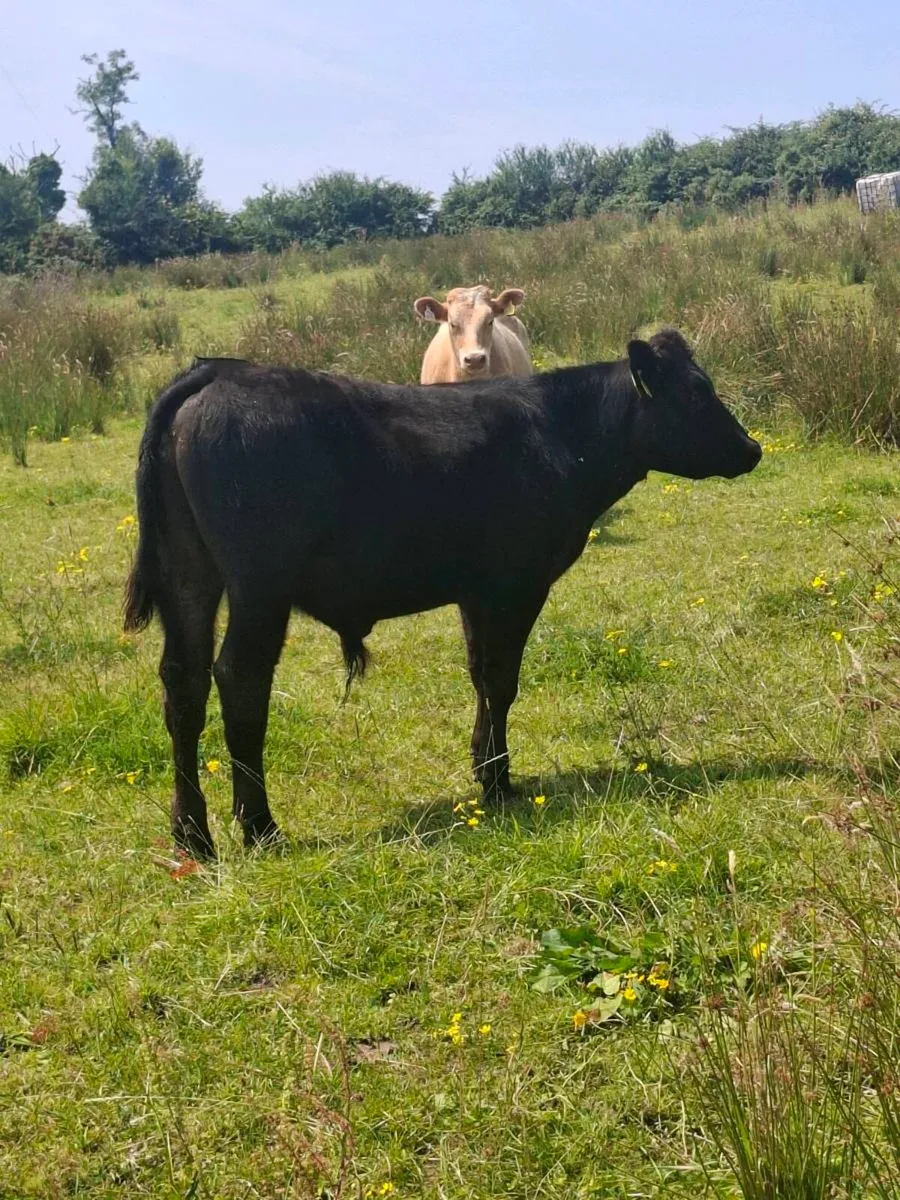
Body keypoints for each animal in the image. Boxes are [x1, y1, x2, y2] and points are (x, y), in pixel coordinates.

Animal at [124, 330, 761, 857]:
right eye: (698, 393)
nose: (751, 449)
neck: (561, 435)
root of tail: (218, 373)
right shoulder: (517, 583)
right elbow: (502, 680)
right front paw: (500, 780)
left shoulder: (475, 592)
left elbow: (480, 675)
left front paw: (485, 767)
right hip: (261, 585)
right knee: (240, 680)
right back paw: (259, 827)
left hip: (189, 576)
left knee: (183, 683)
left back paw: (192, 834)